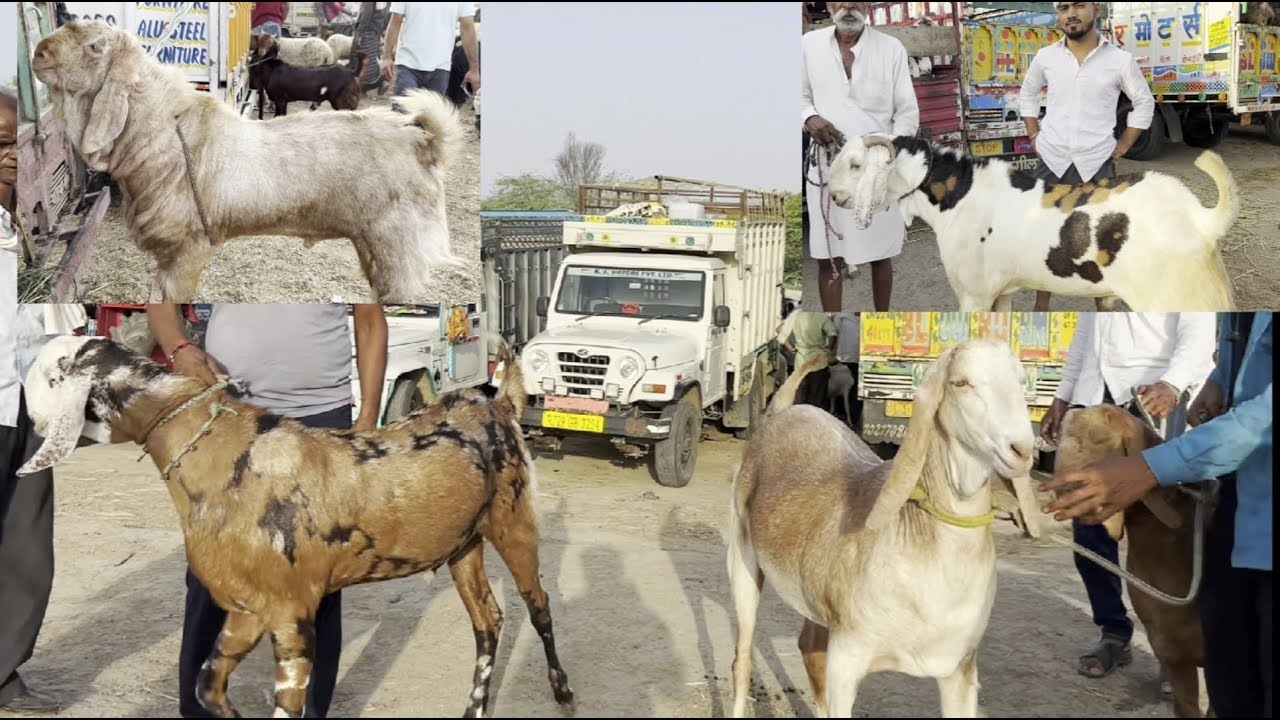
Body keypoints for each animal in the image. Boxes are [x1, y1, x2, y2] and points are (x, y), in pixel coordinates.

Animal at [16, 335, 575, 719]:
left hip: (514, 522)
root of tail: (499, 402)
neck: (220, 453)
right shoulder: (246, 609)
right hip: (464, 545)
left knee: (539, 605)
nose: (30, 419)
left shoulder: (292, 614)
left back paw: (564, 693)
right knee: (488, 620)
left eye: (45, 374)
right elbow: (206, 685)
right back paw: (473, 708)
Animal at [30, 20, 467, 303]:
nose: (39, 53)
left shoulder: (190, 250)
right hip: (371, 243)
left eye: (95, 47)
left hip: (400, 247)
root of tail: (426, 141)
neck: (168, 134)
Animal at [728, 339, 1036, 718]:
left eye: (1021, 381)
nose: (1021, 450)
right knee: (743, 661)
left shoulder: (960, 670)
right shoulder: (847, 660)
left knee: (809, 648)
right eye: (961, 383)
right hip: (742, 561)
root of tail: (785, 410)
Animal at [824, 133, 1239, 312]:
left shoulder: (973, 296)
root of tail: (1201, 218)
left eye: (857, 165)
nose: (832, 193)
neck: (960, 196)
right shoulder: (1001, 293)